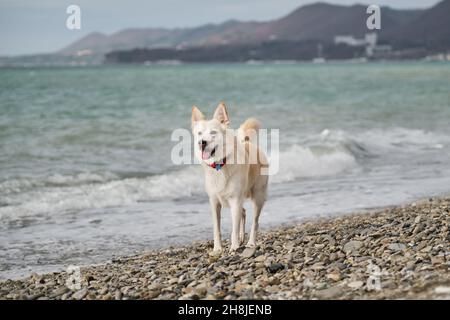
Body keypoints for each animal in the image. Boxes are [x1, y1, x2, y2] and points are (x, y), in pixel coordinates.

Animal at [190, 102, 268, 255]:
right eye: (200, 133)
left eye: (213, 133)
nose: (202, 142)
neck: (220, 165)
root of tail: (250, 144)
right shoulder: (214, 202)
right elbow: (217, 229)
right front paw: (217, 249)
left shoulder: (235, 201)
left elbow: (234, 228)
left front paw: (234, 247)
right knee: (244, 212)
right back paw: (242, 239)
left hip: (258, 197)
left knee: (255, 222)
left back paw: (250, 243)